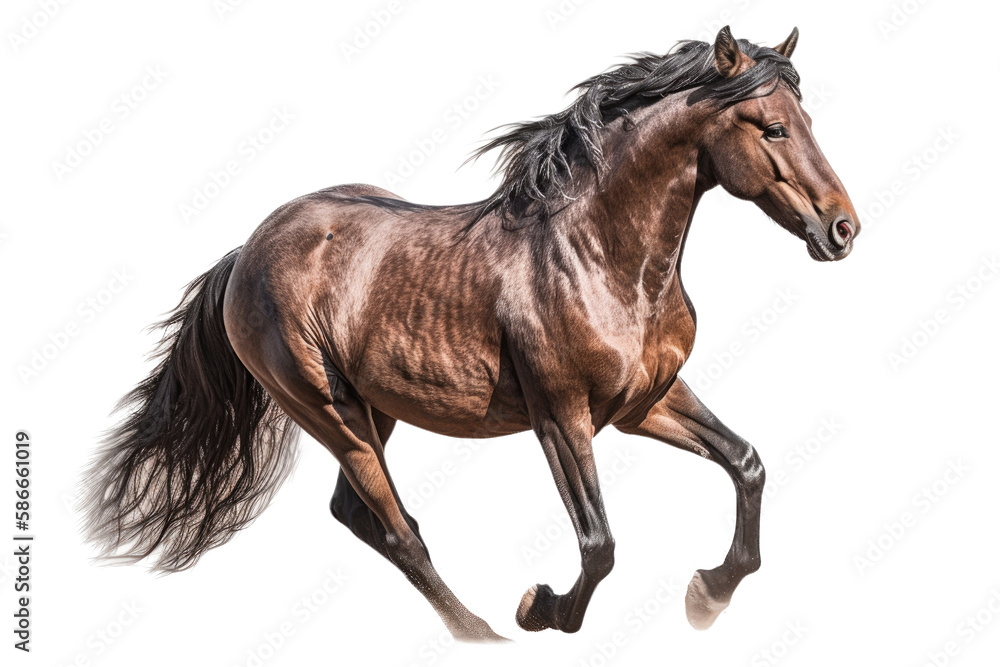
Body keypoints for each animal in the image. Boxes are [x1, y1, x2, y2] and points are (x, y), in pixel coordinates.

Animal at [81, 26, 858, 642]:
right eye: (771, 128)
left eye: (806, 117)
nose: (842, 229)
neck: (599, 257)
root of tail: (247, 250)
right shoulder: (560, 415)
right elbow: (599, 542)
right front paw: (540, 608)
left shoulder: (643, 403)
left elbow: (747, 463)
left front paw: (707, 597)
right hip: (329, 411)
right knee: (399, 530)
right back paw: (484, 632)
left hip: (378, 410)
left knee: (358, 515)